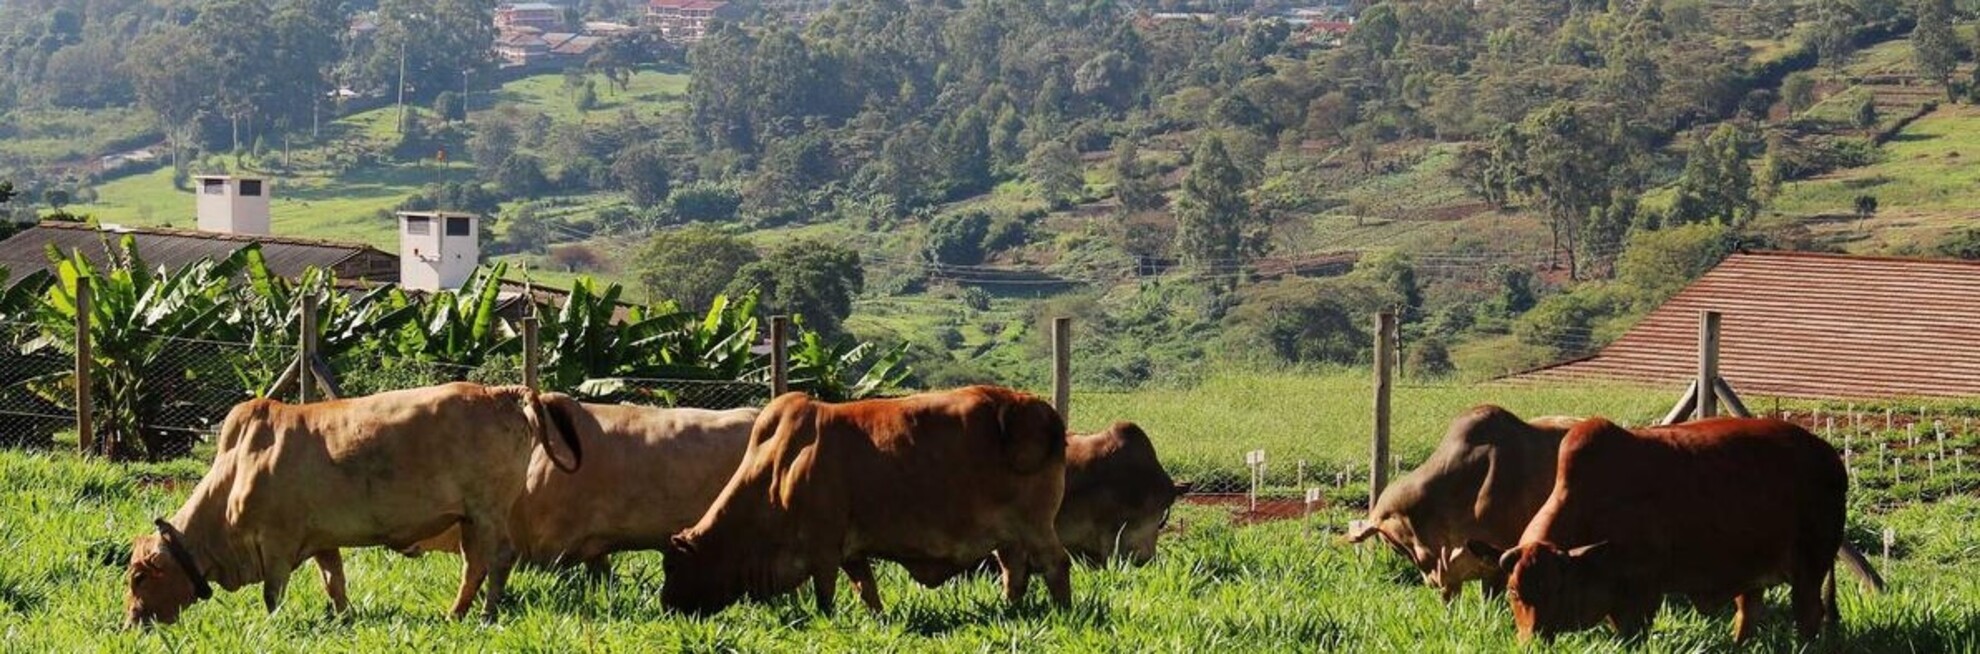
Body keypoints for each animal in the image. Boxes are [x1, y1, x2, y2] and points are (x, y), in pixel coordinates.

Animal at [120, 380, 586, 626]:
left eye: (139, 578)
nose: (131, 623)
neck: (236, 471)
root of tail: (501, 391)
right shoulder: (322, 541)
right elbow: (335, 583)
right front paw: (343, 617)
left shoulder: (275, 543)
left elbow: (273, 593)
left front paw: (273, 624)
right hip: (471, 518)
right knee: (477, 563)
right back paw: (459, 612)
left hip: (489, 511)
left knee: (497, 558)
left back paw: (480, 614)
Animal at [661, 386, 1069, 614]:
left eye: (673, 567)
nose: (666, 606)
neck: (776, 471)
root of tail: (1039, 409)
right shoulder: (851, 552)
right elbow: (866, 590)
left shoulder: (823, 550)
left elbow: (826, 596)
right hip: (1009, 536)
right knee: (1014, 572)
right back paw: (1010, 611)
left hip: (1035, 525)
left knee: (1056, 564)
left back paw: (1062, 611)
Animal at [1473, 416, 1884, 642]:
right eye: (1513, 592)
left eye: (1556, 589)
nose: (1532, 640)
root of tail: (1829, 456)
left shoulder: (1642, 594)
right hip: (1752, 572)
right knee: (1748, 614)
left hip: (1809, 567)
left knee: (1808, 616)